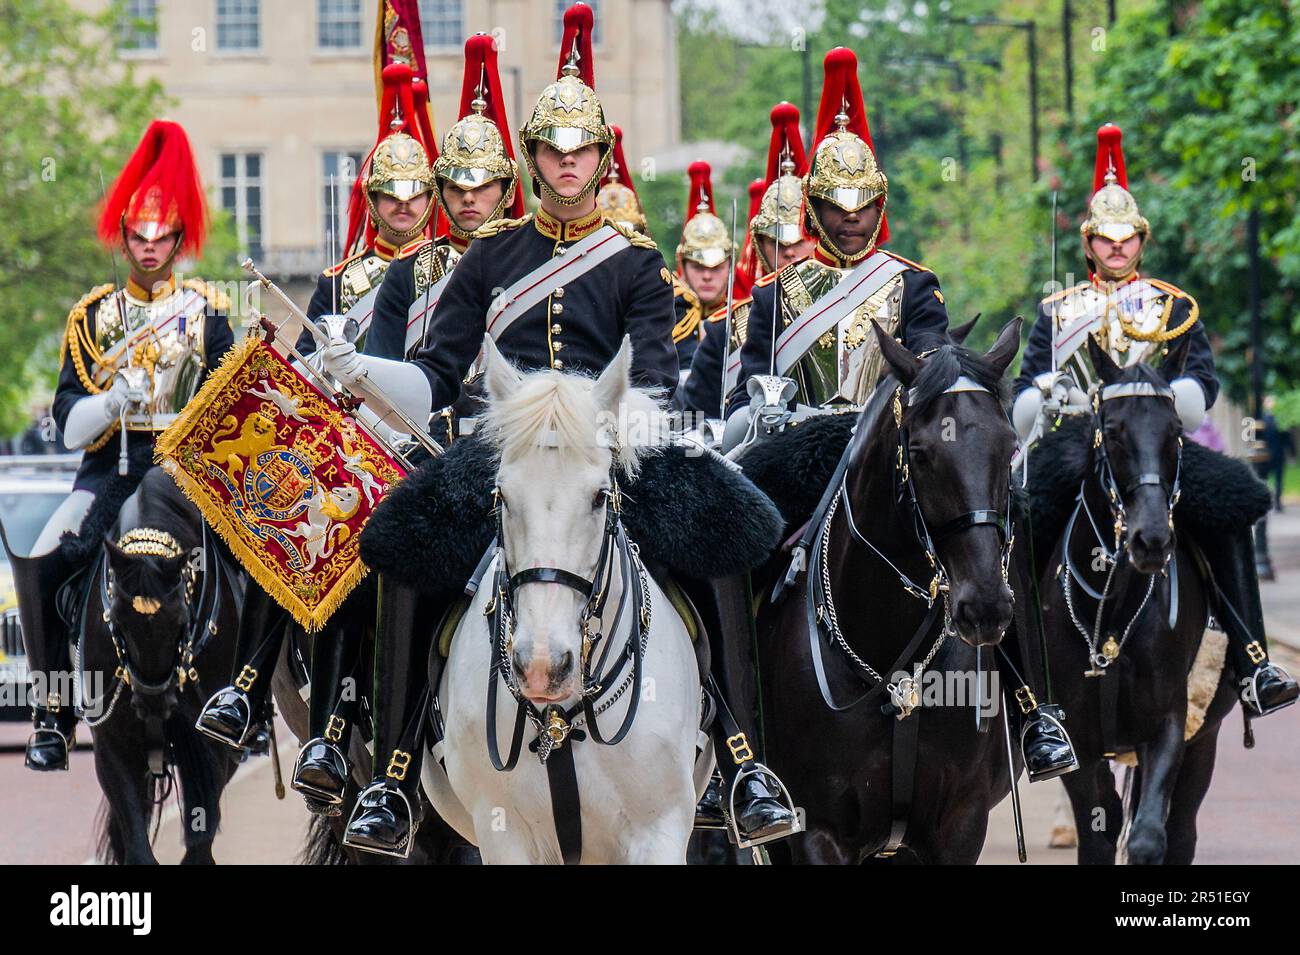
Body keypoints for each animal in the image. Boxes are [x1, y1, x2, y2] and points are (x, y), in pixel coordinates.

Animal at [78, 467, 244, 867]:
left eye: (181, 621)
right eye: (117, 622)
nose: (153, 702)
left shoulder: (207, 744)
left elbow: (200, 843)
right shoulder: (113, 743)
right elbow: (138, 848)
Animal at [423, 337, 712, 867]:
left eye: (600, 497)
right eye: (501, 496)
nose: (541, 667)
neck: (561, 720)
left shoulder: (659, 831)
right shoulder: (504, 834)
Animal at [1034, 337, 1237, 867]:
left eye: (1176, 431)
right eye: (1112, 430)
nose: (1151, 540)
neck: (1110, 612)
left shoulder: (1168, 724)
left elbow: (1148, 836)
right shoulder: (1078, 741)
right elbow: (1098, 831)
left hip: (1203, 740)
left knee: (1180, 830)